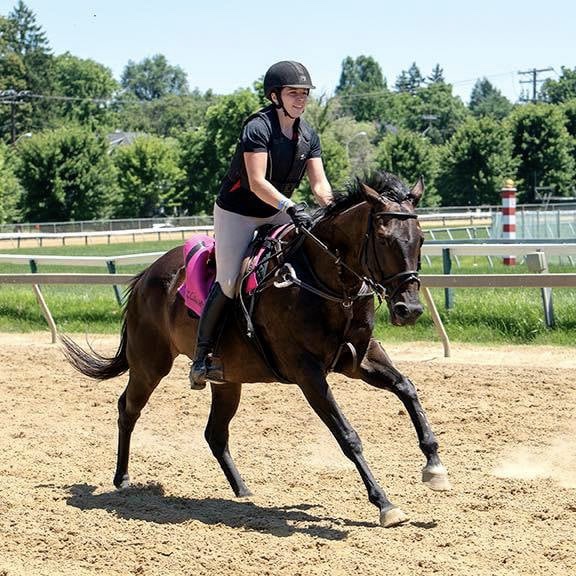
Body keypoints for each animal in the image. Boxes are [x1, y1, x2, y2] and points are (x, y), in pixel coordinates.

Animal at [62, 170, 450, 528]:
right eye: (383, 239)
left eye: (420, 239)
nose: (409, 310)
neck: (323, 280)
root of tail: (146, 276)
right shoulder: (308, 373)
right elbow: (347, 435)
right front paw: (385, 503)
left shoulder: (359, 359)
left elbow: (406, 388)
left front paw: (434, 466)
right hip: (150, 365)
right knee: (128, 409)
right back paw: (122, 479)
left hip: (227, 380)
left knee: (215, 434)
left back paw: (242, 491)